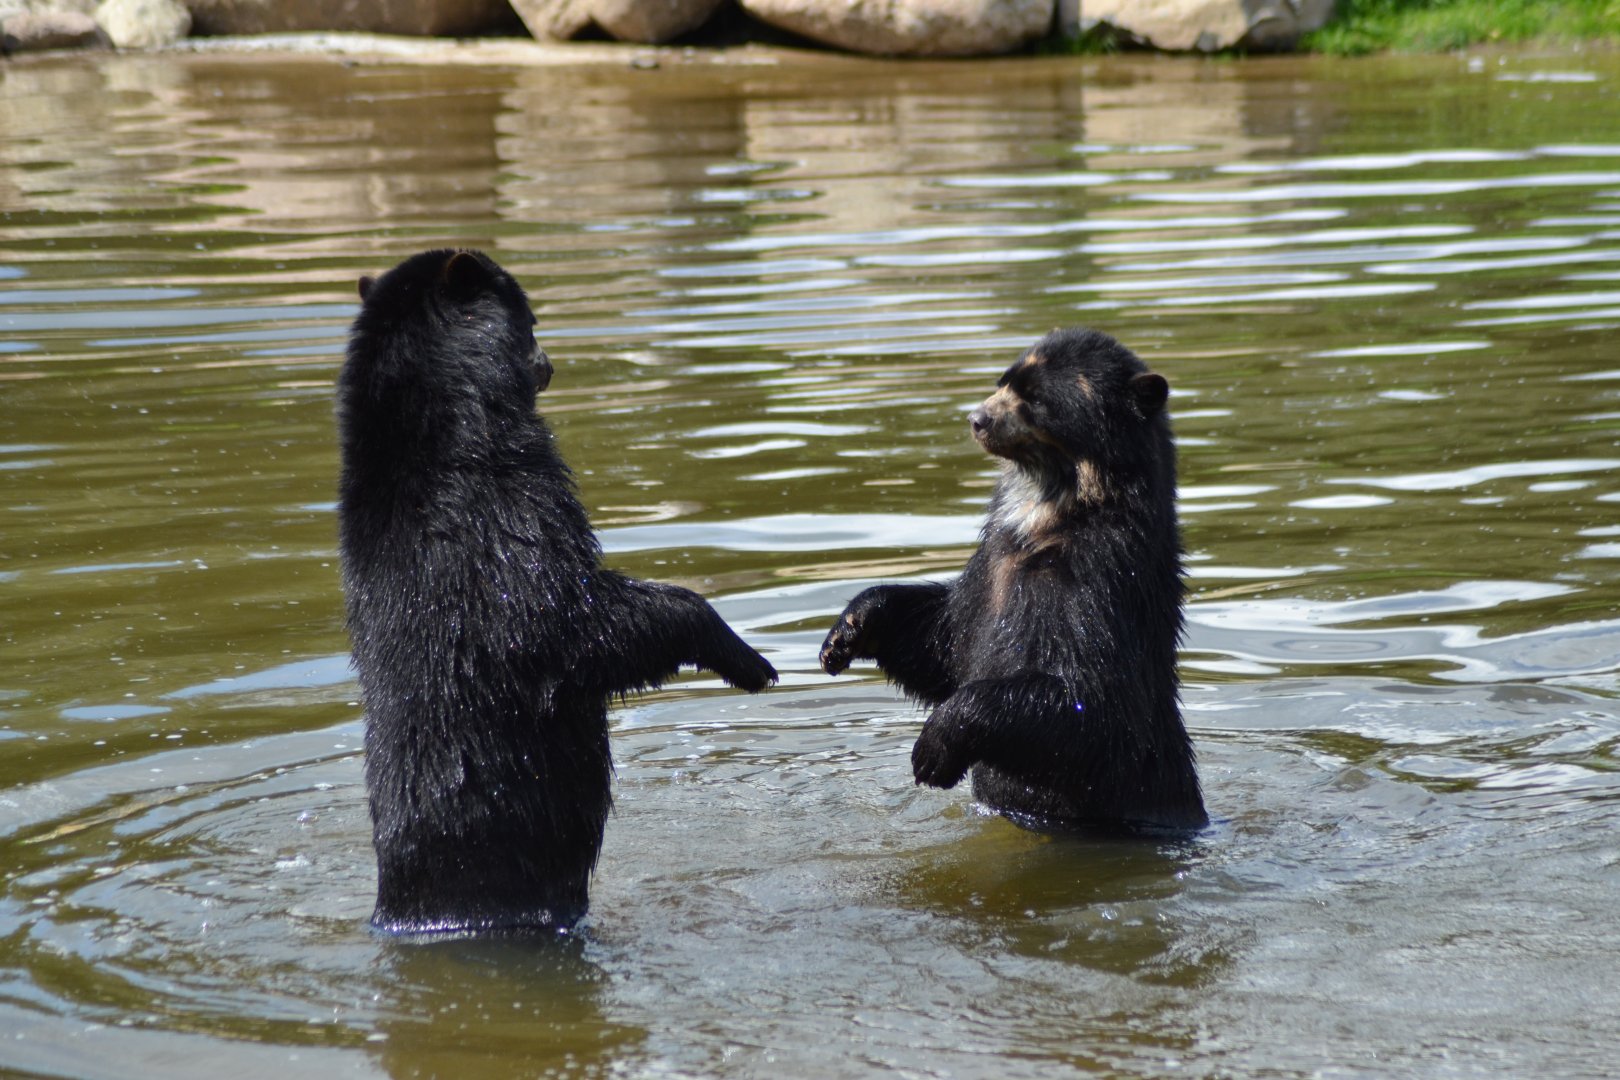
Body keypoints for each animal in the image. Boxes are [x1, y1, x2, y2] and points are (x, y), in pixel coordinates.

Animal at [337, 248, 777, 934]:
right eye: (531, 318)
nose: (549, 362)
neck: (446, 422)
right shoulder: (501, 513)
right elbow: (572, 621)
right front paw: (744, 657)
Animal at [819, 327, 1207, 834]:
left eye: (1037, 399)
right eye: (1004, 381)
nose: (977, 419)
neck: (1051, 515)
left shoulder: (1099, 578)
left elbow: (1087, 697)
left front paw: (932, 749)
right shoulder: (990, 567)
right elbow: (944, 641)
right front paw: (846, 632)